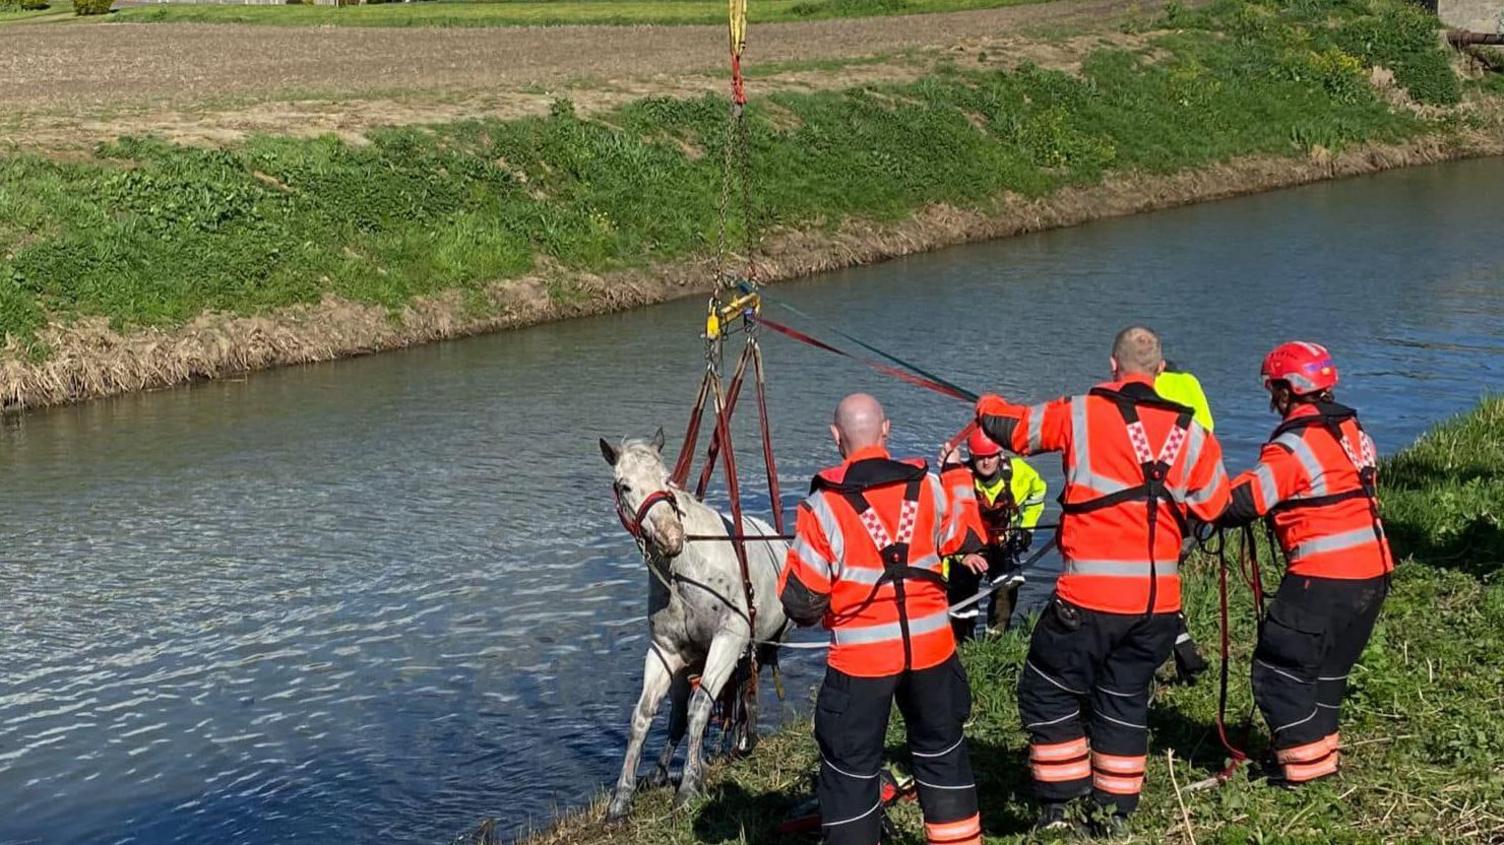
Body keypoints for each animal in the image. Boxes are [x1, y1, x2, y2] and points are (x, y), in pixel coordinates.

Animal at [598, 427, 794, 817]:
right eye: (624, 486)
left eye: (667, 480)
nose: (671, 536)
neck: (686, 571)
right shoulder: (665, 651)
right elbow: (643, 716)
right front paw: (621, 798)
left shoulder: (729, 640)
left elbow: (700, 707)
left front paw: (688, 786)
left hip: (752, 650)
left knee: (739, 696)